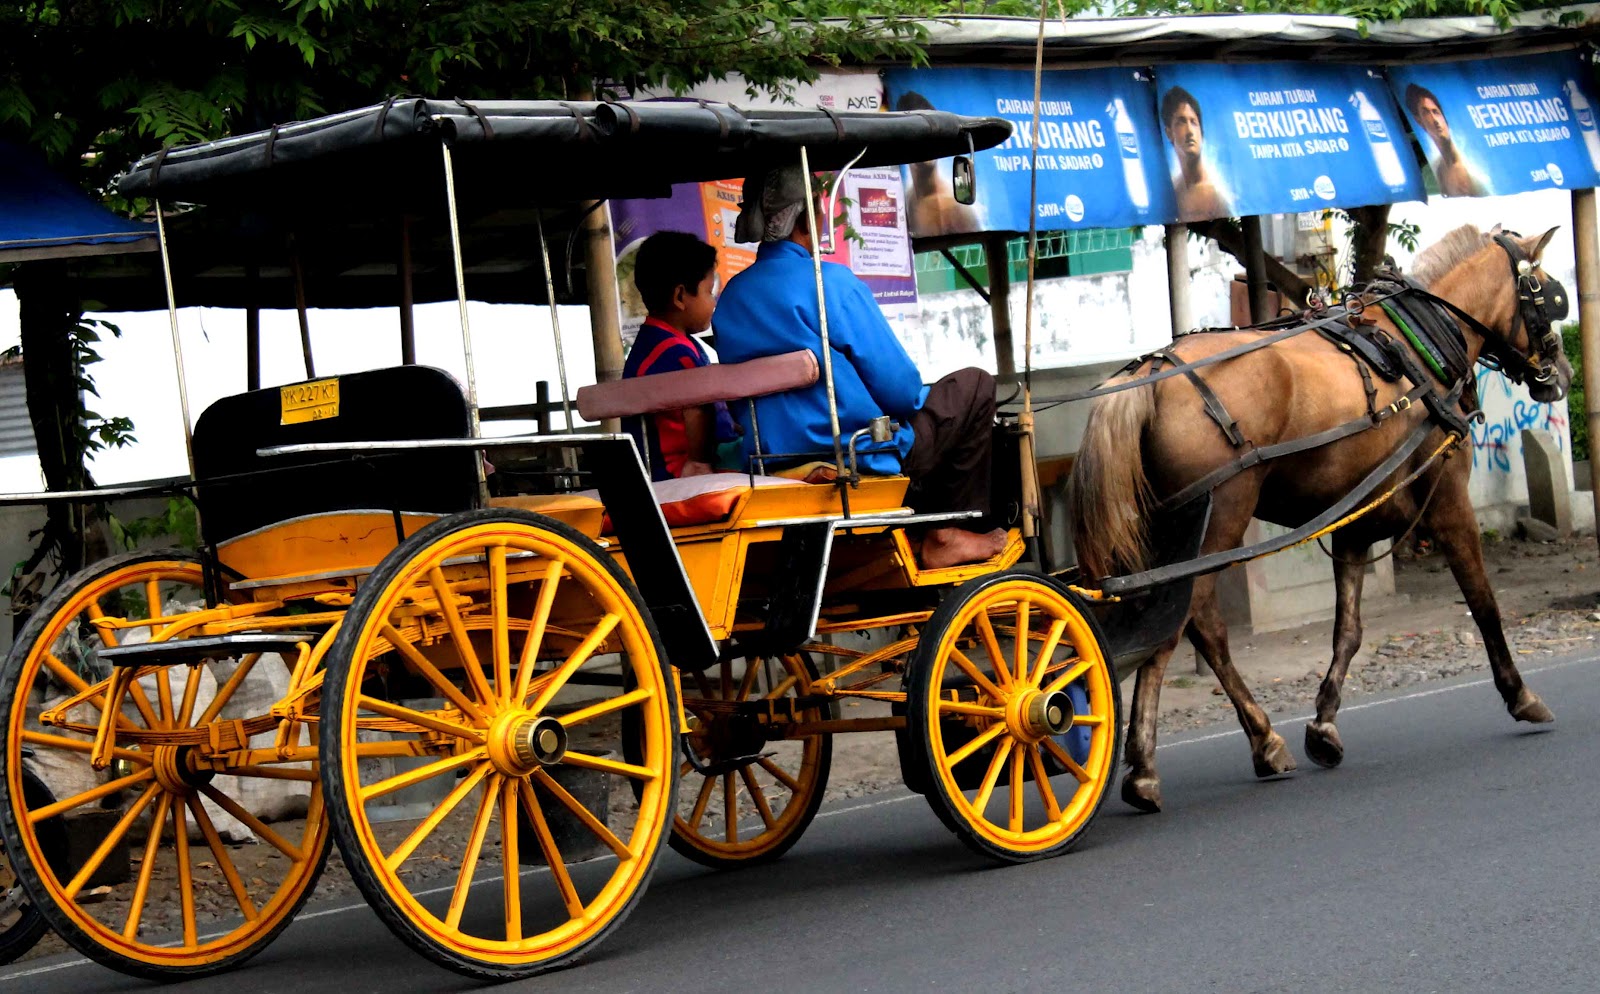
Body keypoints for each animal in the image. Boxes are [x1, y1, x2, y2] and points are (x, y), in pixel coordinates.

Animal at [1068, 220, 1568, 809]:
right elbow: (1484, 603)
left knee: (1173, 620)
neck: (1419, 345)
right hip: (1219, 517)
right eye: (1547, 296)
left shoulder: (1355, 522)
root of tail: (1153, 371)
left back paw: (1249, 743)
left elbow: (1347, 630)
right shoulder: (1448, 502)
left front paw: (1325, 724)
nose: (1561, 372)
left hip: (1167, 528)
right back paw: (1166, 761)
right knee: (1192, 624)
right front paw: (1521, 694)